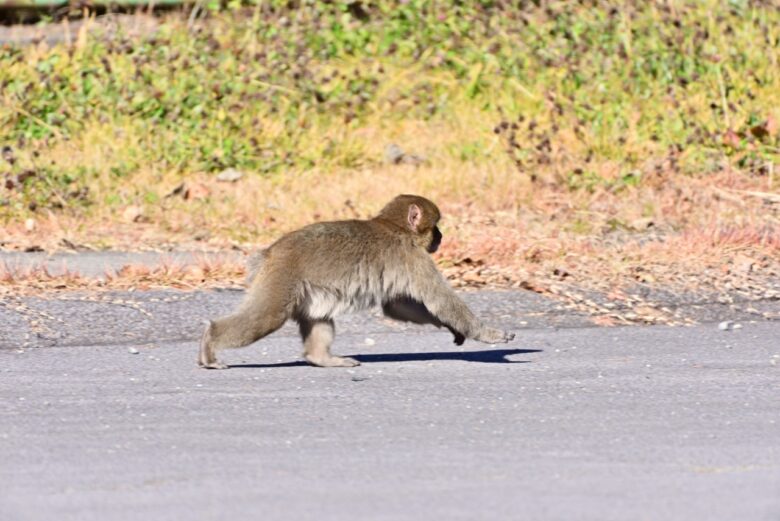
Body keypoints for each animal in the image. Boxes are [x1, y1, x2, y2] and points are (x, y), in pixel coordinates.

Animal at [198, 193, 516, 368]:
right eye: (435, 226)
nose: (441, 237)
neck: (393, 226)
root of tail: (271, 252)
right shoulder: (413, 257)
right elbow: (439, 300)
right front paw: (486, 333)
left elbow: (398, 306)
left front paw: (453, 329)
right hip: (281, 281)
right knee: (266, 317)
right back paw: (211, 342)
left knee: (319, 317)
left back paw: (322, 358)